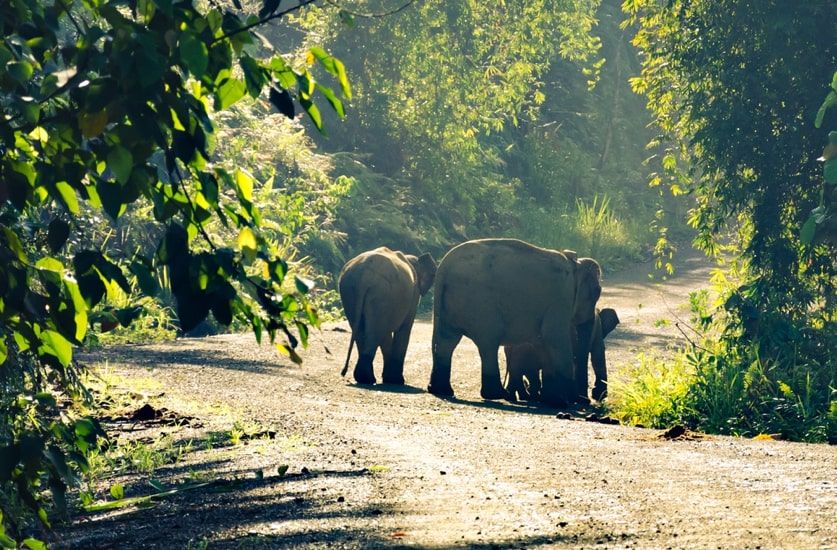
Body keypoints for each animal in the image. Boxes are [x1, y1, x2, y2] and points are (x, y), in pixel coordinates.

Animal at [338, 248, 438, 386]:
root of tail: (364, 275)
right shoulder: (413, 294)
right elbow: (404, 329)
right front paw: (396, 381)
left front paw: (390, 379)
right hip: (381, 293)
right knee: (376, 330)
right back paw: (368, 379)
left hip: (351, 291)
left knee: (364, 330)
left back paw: (364, 379)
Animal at [424, 239, 600, 408]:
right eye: (596, 293)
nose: (585, 401)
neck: (575, 264)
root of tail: (443, 269)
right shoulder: (562, 298)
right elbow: (554, 338)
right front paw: (561, 402)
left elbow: (543, 342)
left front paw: (551, 399)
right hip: (481, 304)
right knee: (487, 342)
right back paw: (497, 394)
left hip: (449, 306)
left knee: (447, 342)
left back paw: (442, 390)